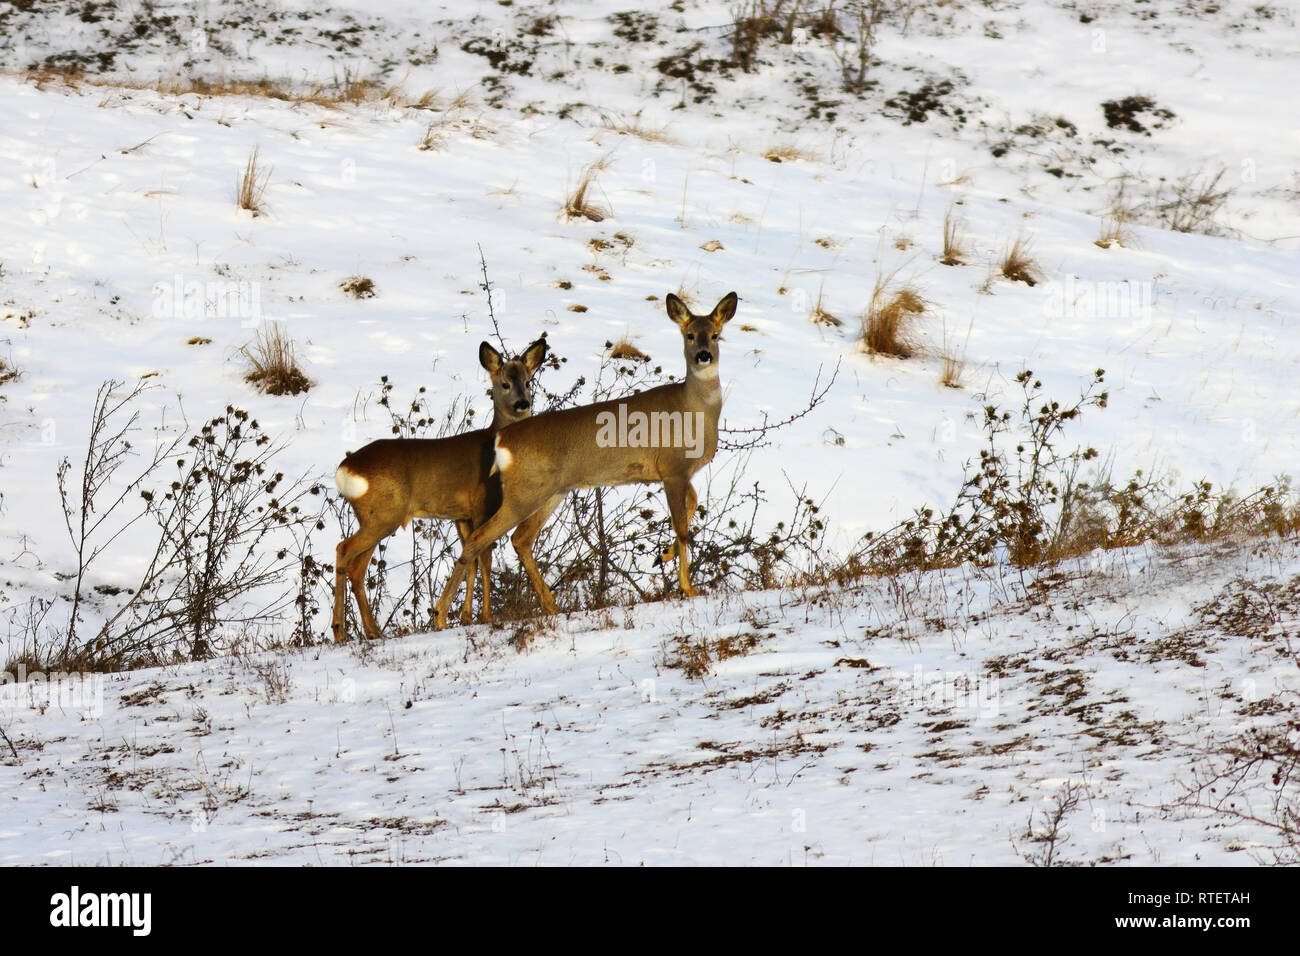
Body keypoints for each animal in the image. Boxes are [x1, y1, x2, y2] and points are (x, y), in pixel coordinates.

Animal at [335, 335, 548, 642]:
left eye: (529, 381)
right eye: (504, 383)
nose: (523, 403)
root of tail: (344, 469)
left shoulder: (462, 515)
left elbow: (471, 560)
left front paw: (465, 617)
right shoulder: (482, 504)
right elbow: (485, 557)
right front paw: (485, 616)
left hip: (372, 516)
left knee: (356, 567)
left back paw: (372, 631)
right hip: (384, 514)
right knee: (343, 550)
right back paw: (341, 631)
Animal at [434, 293, 738, 634]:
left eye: (716, 334)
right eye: (689, 335)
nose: (703, 356)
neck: (694, 410)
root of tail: (502, 438)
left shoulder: (675, 473)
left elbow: (693, 506)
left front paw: (663, 556)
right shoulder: (672, 468)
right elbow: (682, 527)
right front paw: (687, 587)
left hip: (551, 491)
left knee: (519, 539)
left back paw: (550, 605)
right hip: (525, 492)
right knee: (480, 538)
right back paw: (442, 615)